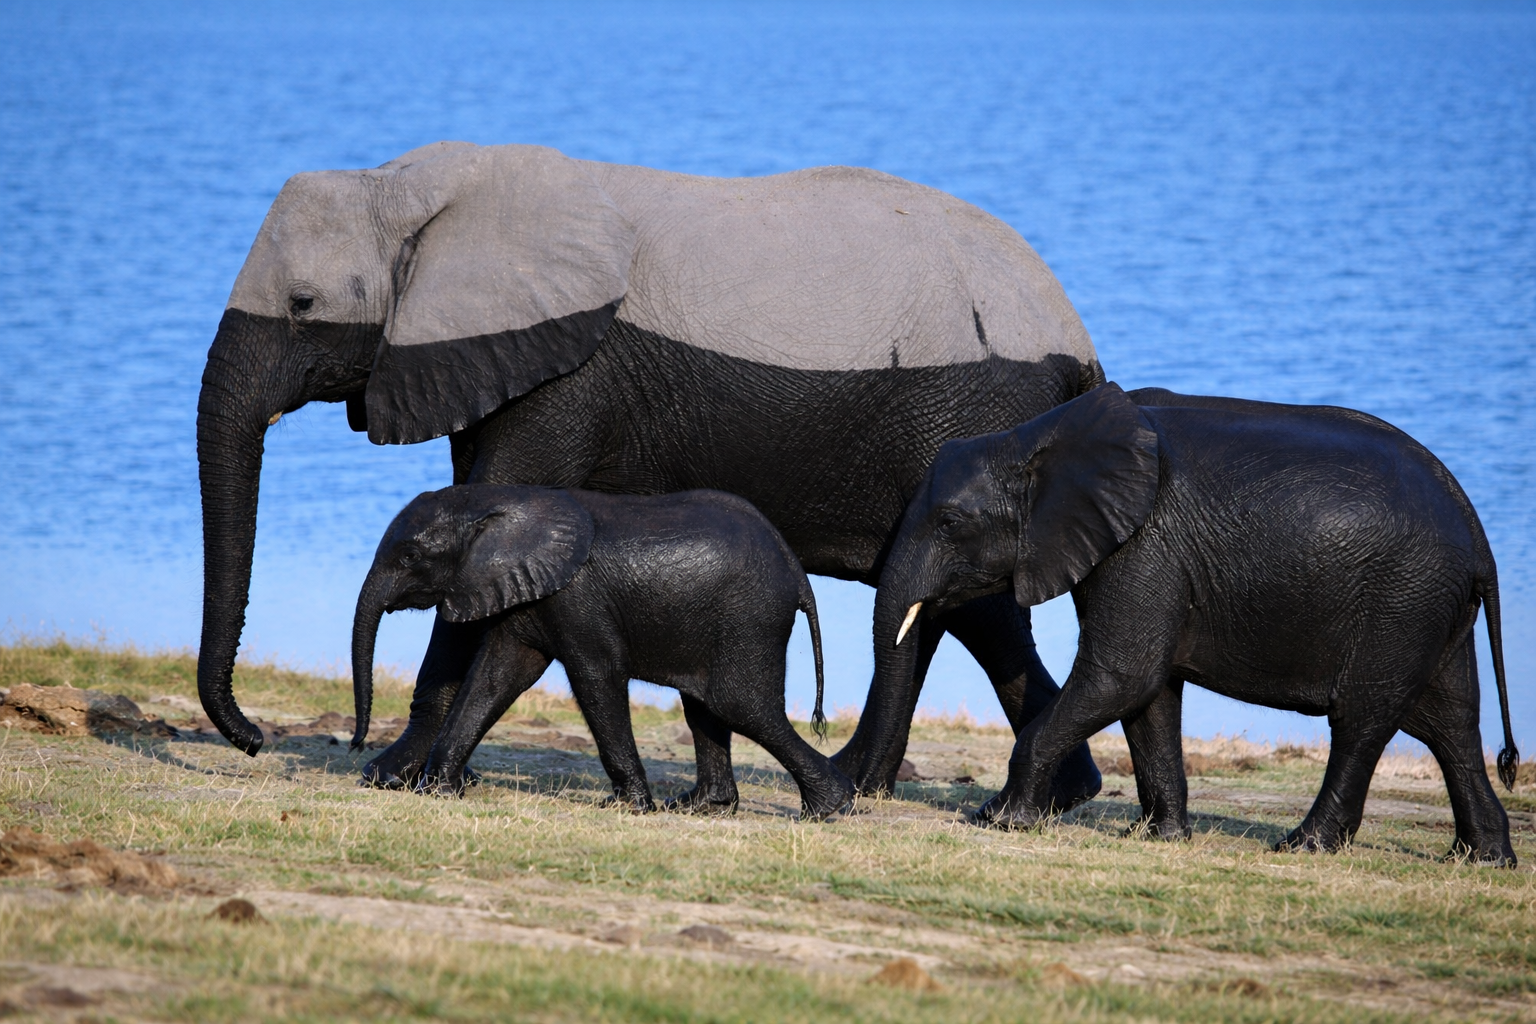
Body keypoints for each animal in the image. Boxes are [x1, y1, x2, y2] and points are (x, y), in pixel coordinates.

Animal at [349, 483, 854, 818]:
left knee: (740, 706)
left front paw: (630, 806)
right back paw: (699, 807)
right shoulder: (528, 590)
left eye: (411, 557)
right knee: (705, 707)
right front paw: (437, 791)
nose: (354, 744)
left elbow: (595, 675)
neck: (496, 501)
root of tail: (797, 571)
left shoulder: (578, 596)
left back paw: (830, 808)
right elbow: (496, 677)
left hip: (750, 619)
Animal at [864, 382, 1519, 864]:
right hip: (1428, 606)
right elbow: (1149, 693)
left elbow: (1121, 675)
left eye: (950, 522)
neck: (1037, 436)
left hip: (1401, 600)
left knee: (1363, 721)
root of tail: (1477, 532)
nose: (860, 804)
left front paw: (998, 822)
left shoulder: (1144, 548)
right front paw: (1159, 839)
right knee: (1451, 722)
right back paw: (1480, 859)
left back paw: (1303, 847)